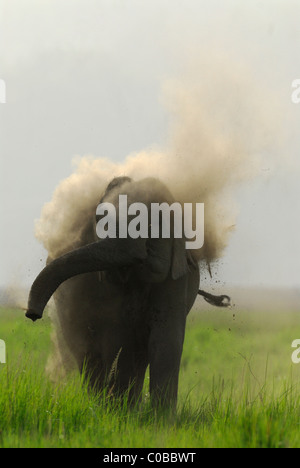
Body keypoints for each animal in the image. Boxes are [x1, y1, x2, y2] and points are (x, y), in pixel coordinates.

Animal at [26, 176, 230, 410]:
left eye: (157, 222)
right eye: (102, 220)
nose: (32, 314)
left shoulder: (177, 276)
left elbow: (166, 338)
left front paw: (160, 417)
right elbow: (114, 337)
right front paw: (117, 409)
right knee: (90, 350)